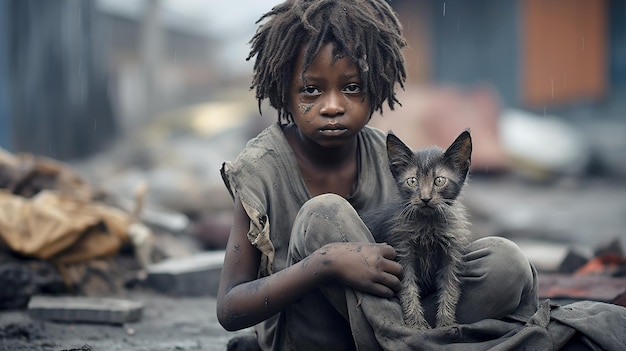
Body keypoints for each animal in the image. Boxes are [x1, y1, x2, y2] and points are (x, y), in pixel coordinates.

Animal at [360, 129, 468, 330]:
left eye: (439, 180)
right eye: (412, 181)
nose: (425, 198)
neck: (428, 224)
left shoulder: (451, 256)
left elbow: (449, 288)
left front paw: (445, 324)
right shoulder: (402, 252)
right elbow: (408, 288)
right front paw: (416, 325)